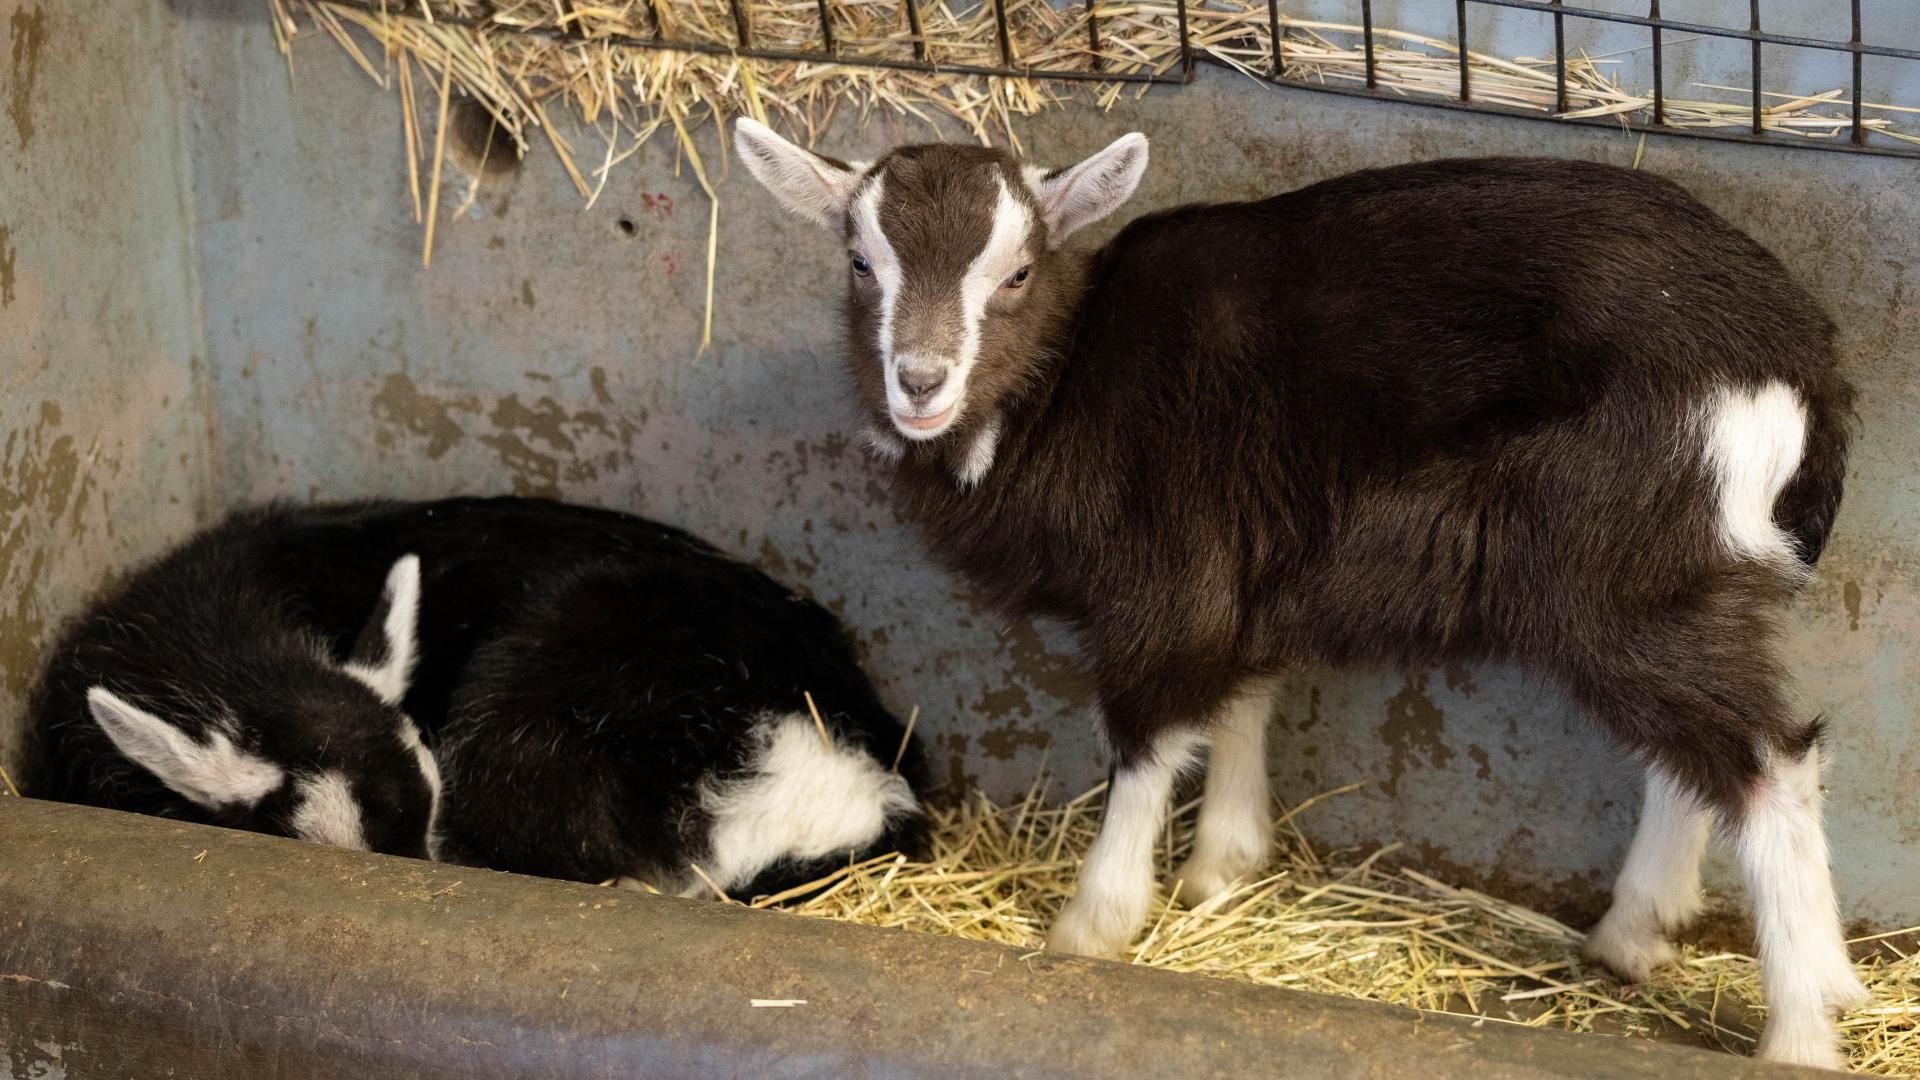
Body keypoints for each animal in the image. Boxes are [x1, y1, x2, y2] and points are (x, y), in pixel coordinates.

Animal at [735, 119, 1864, 1067]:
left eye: (1016, 273)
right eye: (860, 263)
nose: (921, 380)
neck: (1063, 385)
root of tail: (1801, 359)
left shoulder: (1169, 578)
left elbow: (1148, 732)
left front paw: (1092, 925)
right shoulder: (1249, 563)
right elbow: (1243, 693)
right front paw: (1222, 869)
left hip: (1617, 563)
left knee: (1768, 760)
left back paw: (1803, 1027)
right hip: (1669, 578)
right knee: (1692, 754)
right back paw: (1636, 934)